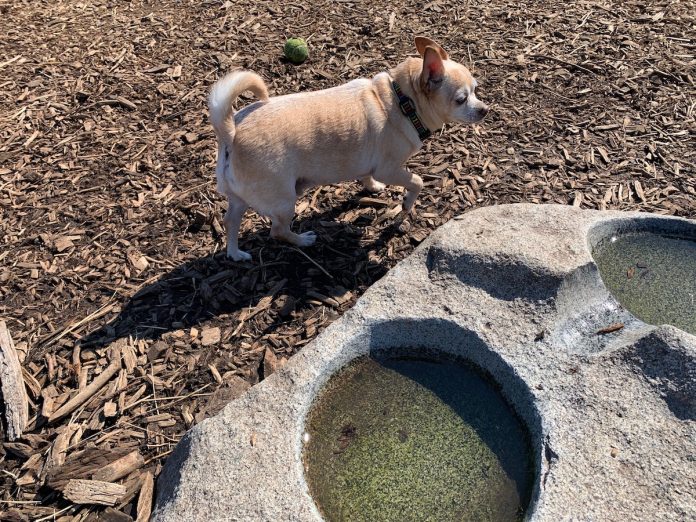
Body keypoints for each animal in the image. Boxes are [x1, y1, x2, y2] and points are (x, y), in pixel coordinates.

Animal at [209, 35, 486, 258]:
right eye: (461, 100)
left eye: (476, 89)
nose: (484, 109)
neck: (402, 101)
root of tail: (231, 133)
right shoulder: (390, 169)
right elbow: (416, 181)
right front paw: (407, 204)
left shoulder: (368, 165)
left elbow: (366, 176)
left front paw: (372, 188)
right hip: (284, 200)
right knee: (277, 230)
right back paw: (303, 240)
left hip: (239, 198)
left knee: (230, 221)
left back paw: (235, 254)